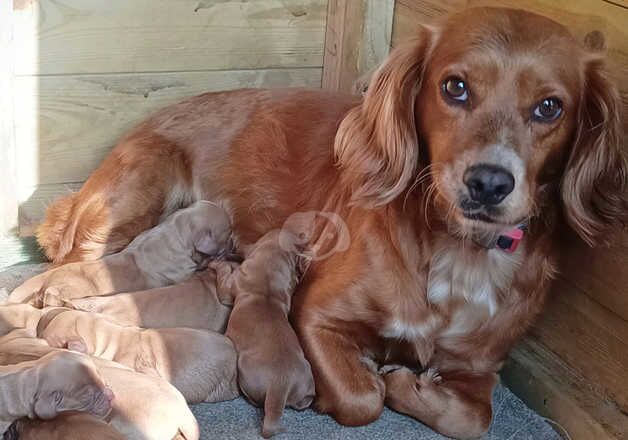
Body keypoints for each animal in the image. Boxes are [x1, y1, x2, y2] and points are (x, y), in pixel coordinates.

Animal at [213, 230, 316, 436]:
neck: (268, 274)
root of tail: (280, 385)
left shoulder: (228, 289)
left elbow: (224, 273)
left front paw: (216, 263)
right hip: (307, 377)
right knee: (306, 400)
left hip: (245, 370)